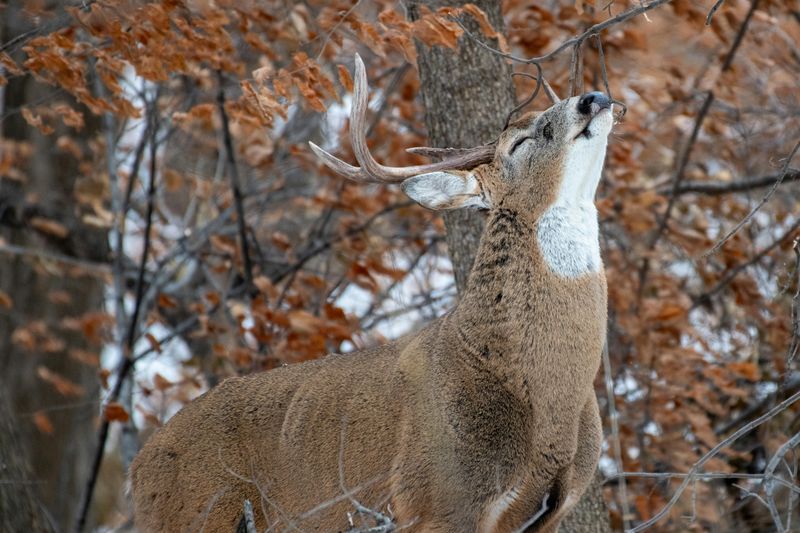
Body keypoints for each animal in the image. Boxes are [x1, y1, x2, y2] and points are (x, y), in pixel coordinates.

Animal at [130, 54, 614, 533]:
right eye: (518, 143)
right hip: (196, 513)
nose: (593, 98)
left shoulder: (550, 510)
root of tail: (139, 469)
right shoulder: (435, 498)